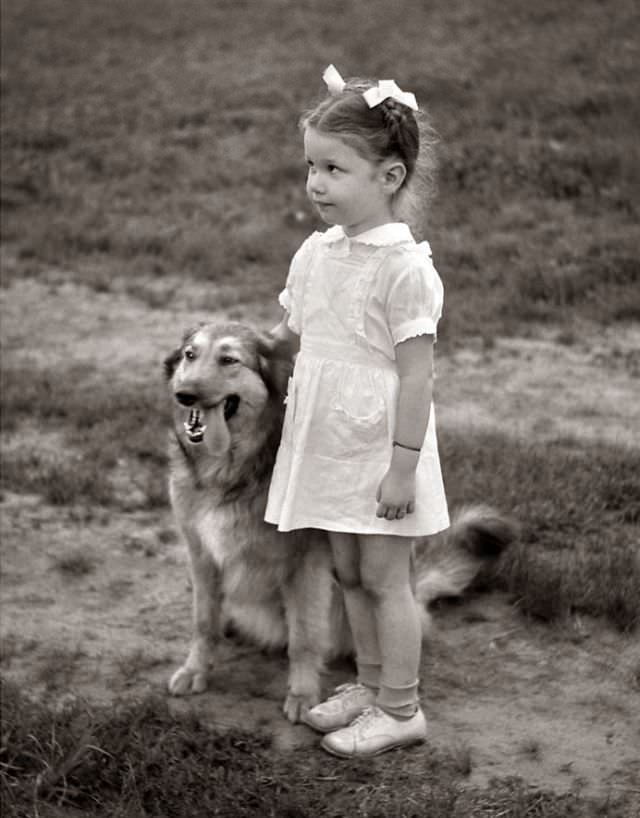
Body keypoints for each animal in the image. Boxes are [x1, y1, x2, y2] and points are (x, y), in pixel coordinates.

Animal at [164, 318, 516, 720]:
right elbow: (203, 623)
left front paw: (301, 694)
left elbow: (304, 638)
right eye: (190, 355)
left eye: (229, 360)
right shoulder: (201, 555)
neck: (230, 471)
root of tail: (416, 590)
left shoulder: (304, 564)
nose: (185, 395)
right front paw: (195, 670)